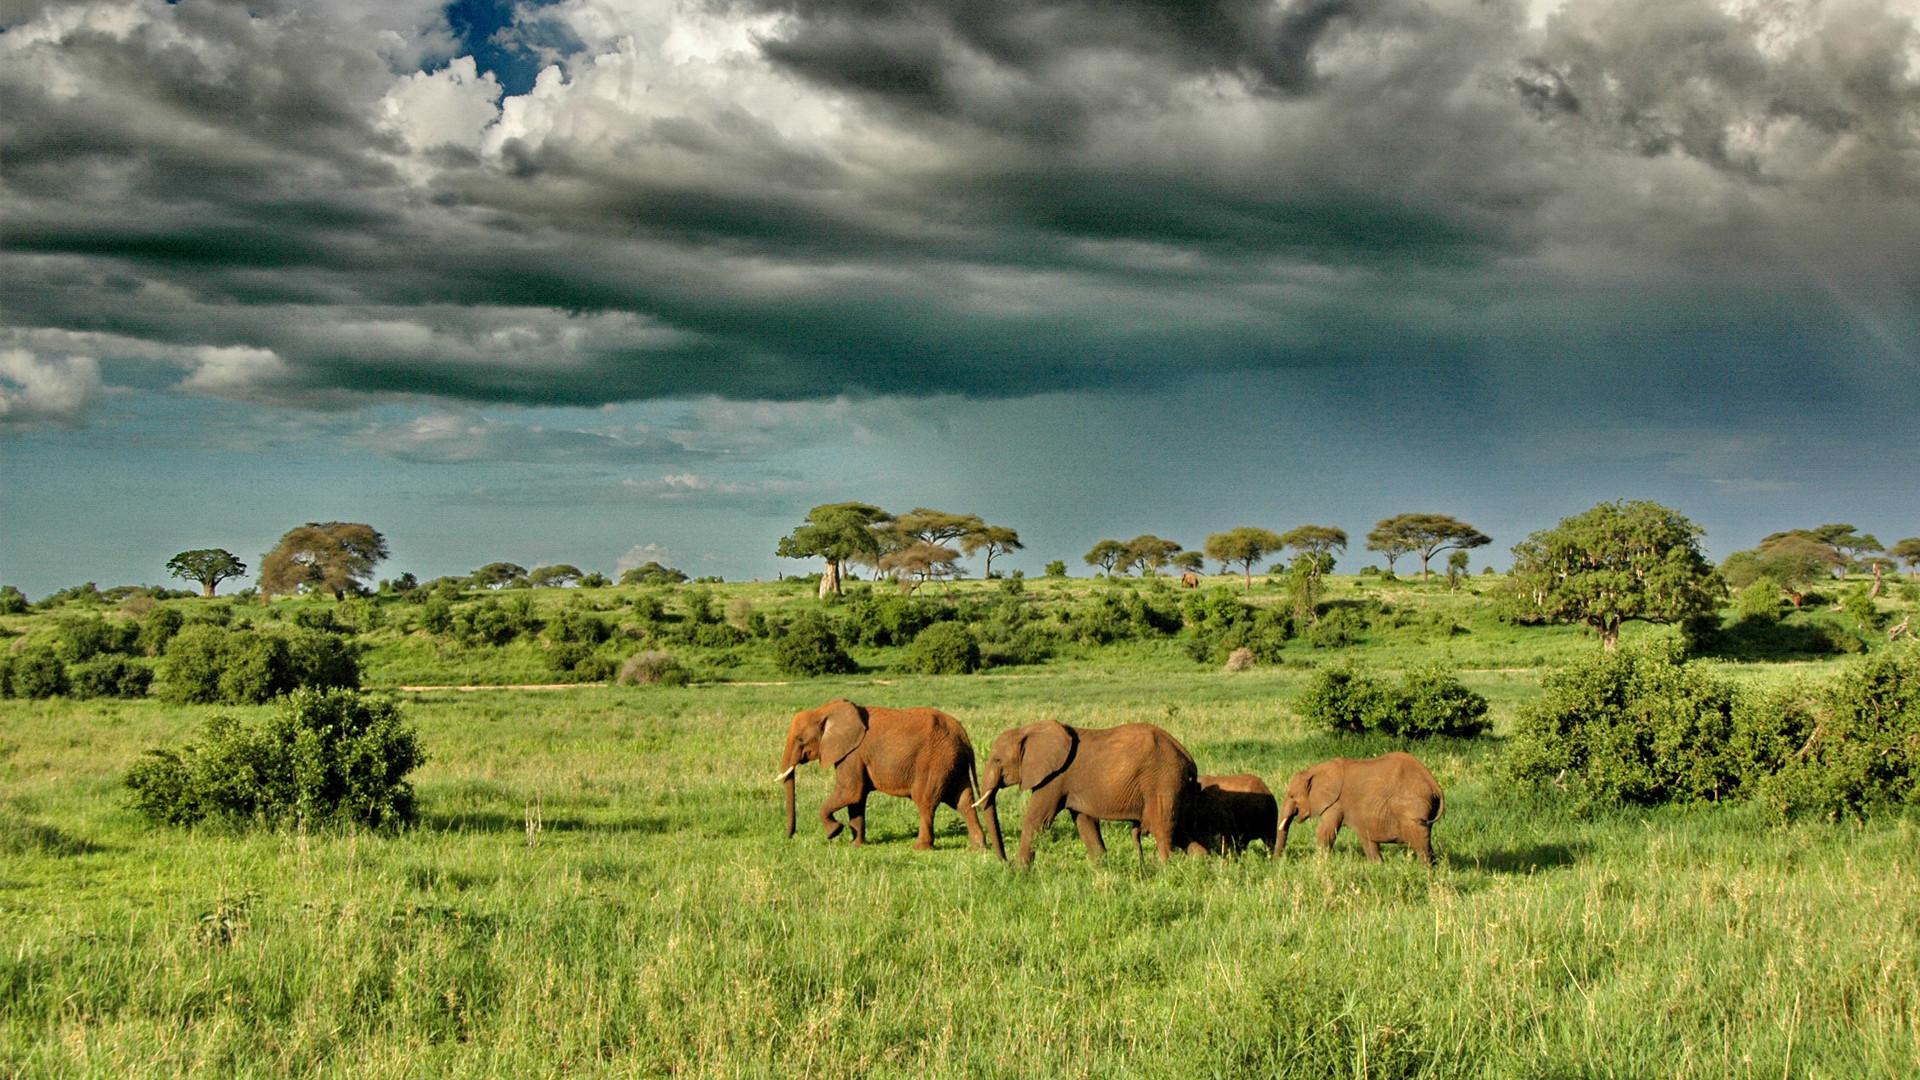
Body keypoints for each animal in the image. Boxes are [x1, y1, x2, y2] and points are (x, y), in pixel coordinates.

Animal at [777, 699, 1003, 857]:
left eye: (800, 740)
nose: (789, 837)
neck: (825, 710)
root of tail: (963, 735)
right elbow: (857, 799)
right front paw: (855, 845)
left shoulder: (852, 755)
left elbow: (851, 792)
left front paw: (834, 832)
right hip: (953, 763)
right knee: (964, 801)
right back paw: (978, 847)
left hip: (936, 761)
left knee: (925, 802)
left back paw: (920, 848)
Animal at [973, 720, 1202, 867]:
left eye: (997, 760)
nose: (1004, 862)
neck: (1028, 729)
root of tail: (1188, 759)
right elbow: (1085, 822)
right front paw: (1102, 867)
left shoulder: (1054, 778)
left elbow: (1036, 819)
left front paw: (1019, 871)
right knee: (1179, 829)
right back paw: (1201, 864)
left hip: (1163, 781)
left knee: (1162, 828)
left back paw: (1165, 868)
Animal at [1276, 752, 1443, 865]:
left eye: (1292, 796)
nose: (1276, 862)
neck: (1315, 770)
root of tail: (1434, 783)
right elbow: (1366, 837)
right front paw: (1378, 866)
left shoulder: (1336, 803)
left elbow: (1324, 833)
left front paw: (1319, 864)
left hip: (1412, 807)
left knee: (1420, 843)